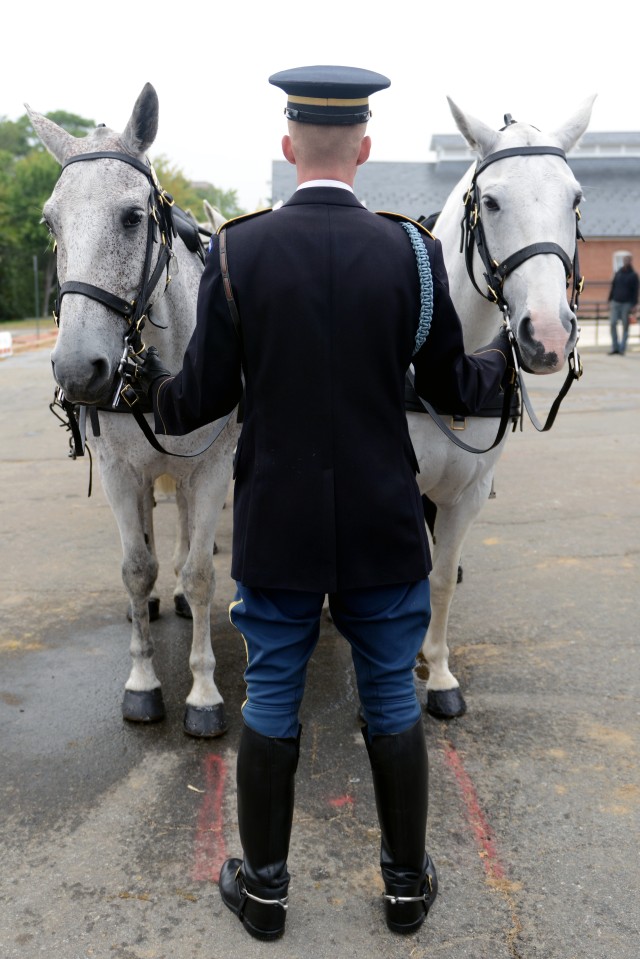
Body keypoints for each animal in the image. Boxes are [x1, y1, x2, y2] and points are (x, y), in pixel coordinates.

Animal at [26, 86, 242, 740]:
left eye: (132, 217)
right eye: (50, 222)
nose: (78, 371)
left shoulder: (210, 468)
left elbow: (199, 573)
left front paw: (203, 692)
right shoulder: (121, 471)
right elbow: (134, 567)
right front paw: (143, 682)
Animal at [410, 94, 596, 716]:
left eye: (575, 199)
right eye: (490, 202)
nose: (548, 336)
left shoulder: (466, 494)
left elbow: (440, 579)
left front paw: (438, 672)